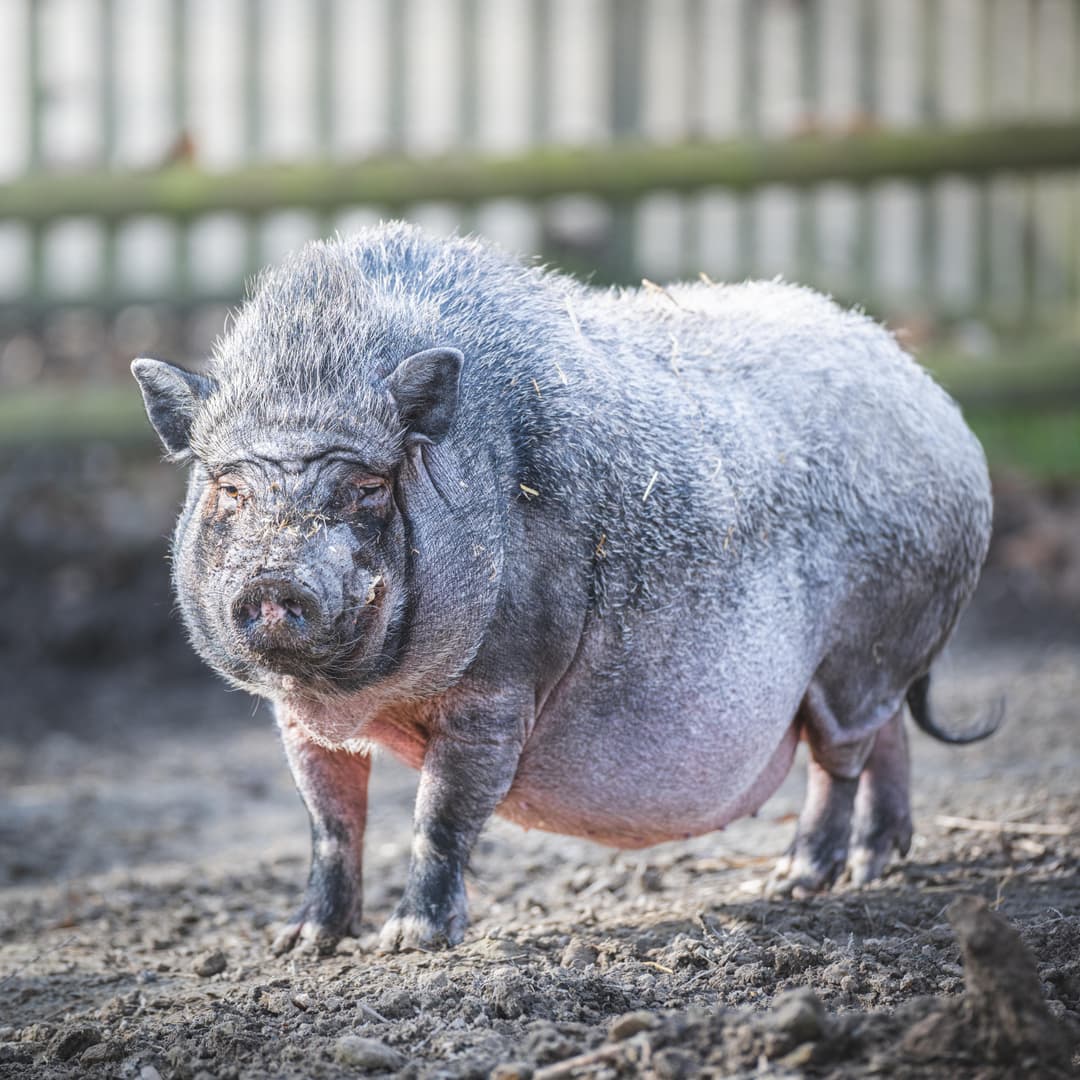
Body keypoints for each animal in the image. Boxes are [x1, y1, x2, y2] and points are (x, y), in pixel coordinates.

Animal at [128, 221, 993, 954]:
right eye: (230, 490)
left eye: (367, 488)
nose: (277, 579)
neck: (364, 702)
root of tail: (941, 408)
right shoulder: (297, 718)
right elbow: (330, 821)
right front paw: (301, 946)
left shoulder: (500, 684)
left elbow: (439, 814)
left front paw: (410, 943)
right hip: (871, 663)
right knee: (886, 737)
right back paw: (874, 867)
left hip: (864, 645)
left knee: (839, 759)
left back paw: (795, 882)